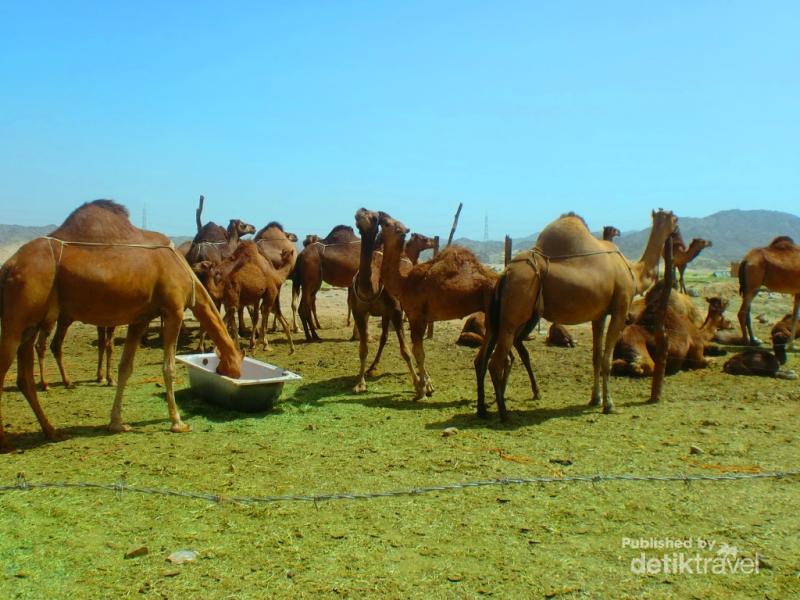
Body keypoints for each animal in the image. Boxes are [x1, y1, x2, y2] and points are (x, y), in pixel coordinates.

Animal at [0, 199, 242, 452]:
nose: (230, 373)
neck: (185, 272)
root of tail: (8, 266)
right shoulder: (173, 310)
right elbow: (168, 368)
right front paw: (178, 422)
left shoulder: (140, 318)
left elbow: (126, 367)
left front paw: (116, 423)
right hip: (17, 318)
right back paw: (7, 442)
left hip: (30, 323)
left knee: (24, 378)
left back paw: (52, 431)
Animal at [346, 209, 416, 392]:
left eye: (374, 218)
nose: (362, 211)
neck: (371, 287)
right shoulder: (359, 311)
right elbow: (363, 349)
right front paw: (359, 383)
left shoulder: (396, 310)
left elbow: (405, 349)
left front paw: (418, 383)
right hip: (384, 313)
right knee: (383, 337)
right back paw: (372, 368)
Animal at [478, 210, 680, 418]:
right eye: (675, 219)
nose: (676, 232)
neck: (633, 272)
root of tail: (505, 274)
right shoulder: (620, 308)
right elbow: (606, 360)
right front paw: (609, 405)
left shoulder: (599, 315)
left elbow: (596, 358)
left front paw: (595, 399)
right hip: (513, 316)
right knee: (497, 361)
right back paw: (504, 413)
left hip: (502, 319)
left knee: (483, 358)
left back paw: (483, 409)